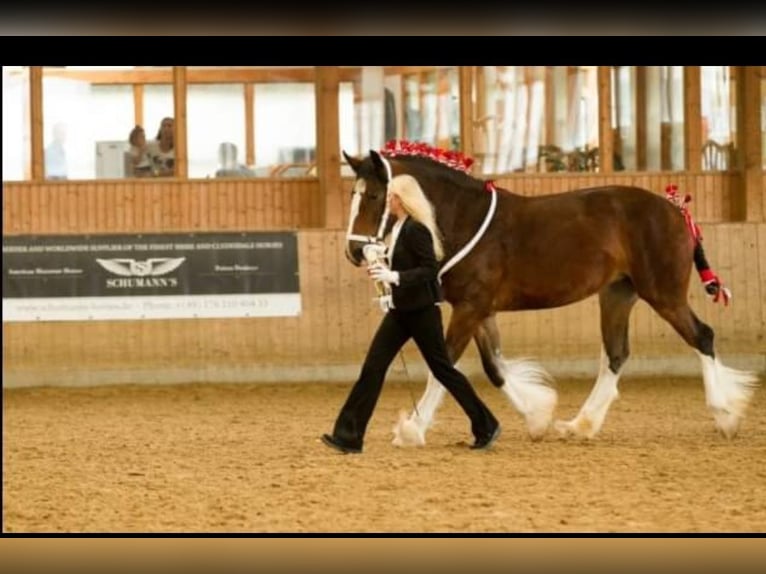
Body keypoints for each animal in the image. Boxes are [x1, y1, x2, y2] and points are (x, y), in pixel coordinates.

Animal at [344, 142, 760, 448]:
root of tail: (676, 211)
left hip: (664, 294)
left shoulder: (471, 307)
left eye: (375, 195)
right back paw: (580, 425)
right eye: (353, 194)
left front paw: (411, 430)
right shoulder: (480, 310)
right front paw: (537, 416)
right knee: (616, 353)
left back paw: (726, 415)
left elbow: (443, 366)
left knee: (702, 336)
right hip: (617, 294)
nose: (354, 252)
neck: (464, 218)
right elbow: (494, 368)